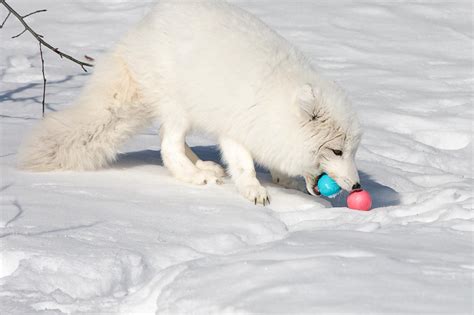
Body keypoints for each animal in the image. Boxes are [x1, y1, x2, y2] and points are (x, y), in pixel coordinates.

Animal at [17, 0, 360, 205]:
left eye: (352, 152)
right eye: (337, 151)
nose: (357, 187)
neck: (275, 99)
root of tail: (133, 40)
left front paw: (283, 179)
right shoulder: (235, 129)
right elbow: (244, 165)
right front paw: (254, 191)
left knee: (169, 140)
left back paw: (204, 166)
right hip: (178, 108)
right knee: (167, 146)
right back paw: (197, 176)